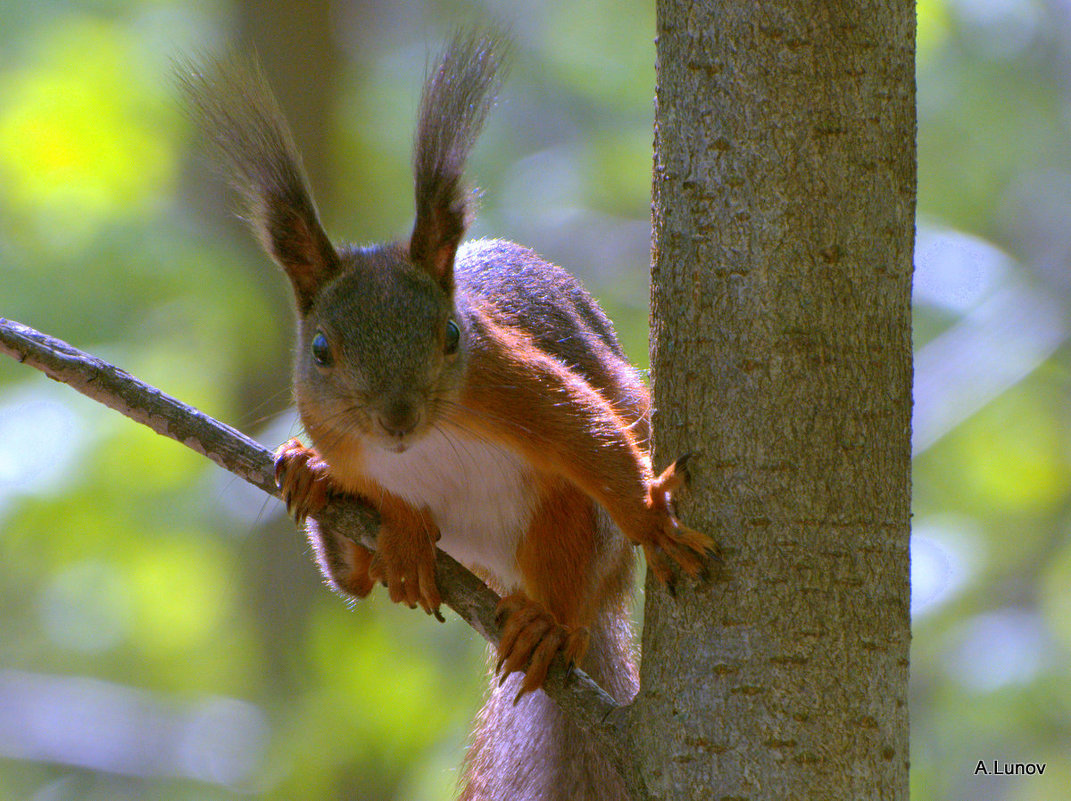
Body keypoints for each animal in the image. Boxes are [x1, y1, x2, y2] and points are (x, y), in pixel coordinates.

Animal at [184, 31, 711, 801]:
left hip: (567, 533)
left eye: (453, 336)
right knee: (358, 577)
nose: (398, 419)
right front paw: (342, 490)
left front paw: (651, 517)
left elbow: (592, 436)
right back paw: (338, 503)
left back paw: (549, 625)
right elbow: (362, 560)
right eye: (320, 349)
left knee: (576, 558)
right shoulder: (348, 444)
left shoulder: (514, 385)